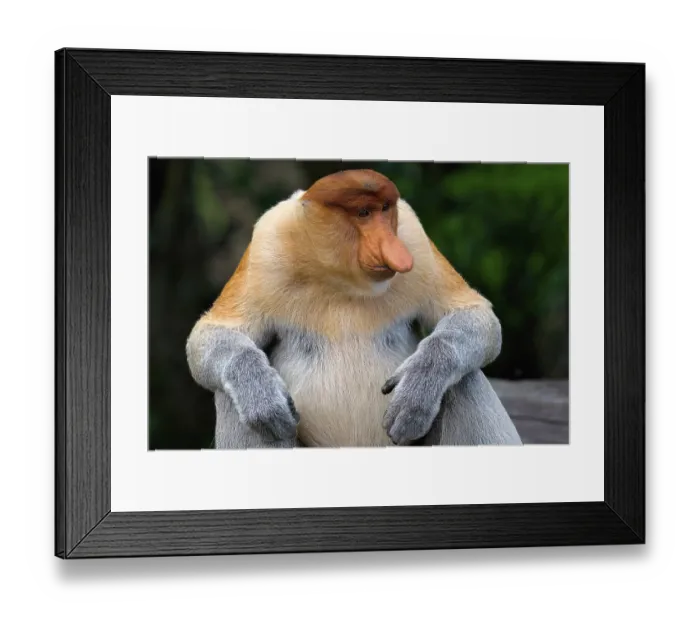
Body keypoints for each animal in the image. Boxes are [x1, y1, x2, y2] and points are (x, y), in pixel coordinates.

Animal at [185, 169, 523, 449]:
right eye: (363, 213)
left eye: (385, 210)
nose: (397, 254)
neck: (341, 279)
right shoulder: (266, 248)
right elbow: (211, 335)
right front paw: (262, 397)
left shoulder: (414, 238)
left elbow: (474, 314)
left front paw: (418, 389)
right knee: (230, 396)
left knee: (464, 380)